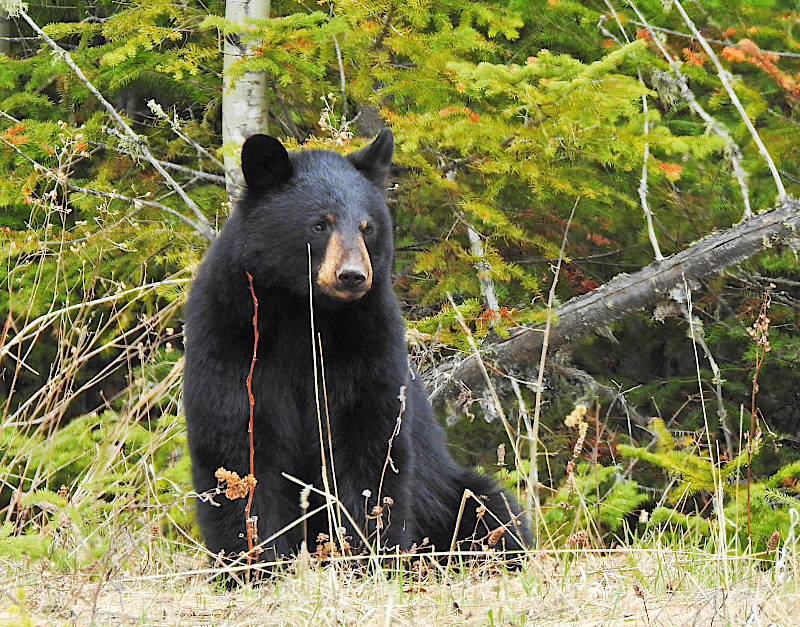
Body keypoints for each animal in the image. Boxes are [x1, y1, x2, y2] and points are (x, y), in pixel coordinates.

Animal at [183, 130, 530, 568]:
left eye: (368, 227)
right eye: (319, 223)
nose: (351, 275)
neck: (304, 312)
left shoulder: (369, 341)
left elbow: (369, 447)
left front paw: (365, 554)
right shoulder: (232, 336)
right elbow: (237, 446)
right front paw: (254, 563)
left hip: (453, 491)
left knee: (494, 513)